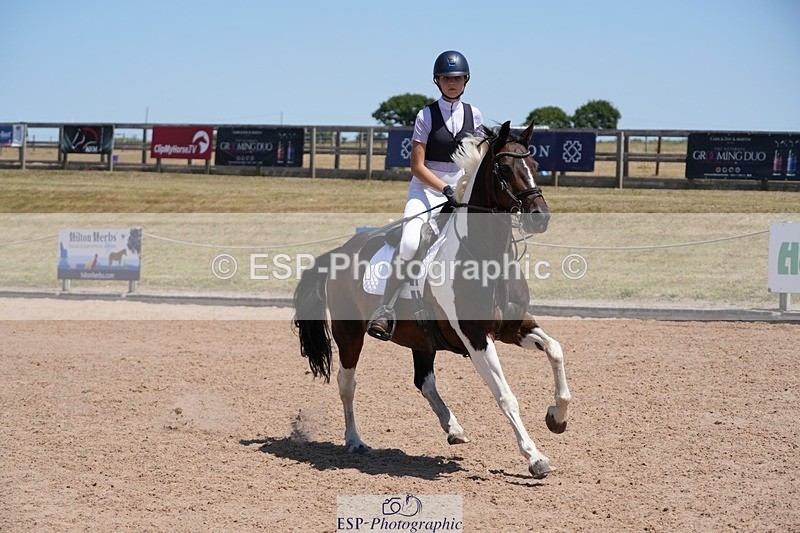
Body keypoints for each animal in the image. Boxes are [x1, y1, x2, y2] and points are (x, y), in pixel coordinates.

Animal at [293, 121, 572, 478]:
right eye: (506, 169)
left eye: (536, 166)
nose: (541, 216)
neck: (485, 256)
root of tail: (340, 251)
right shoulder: (475, 337)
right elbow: (505, 396)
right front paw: (535, 456)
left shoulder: (514, 325)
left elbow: (555, 349)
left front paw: (557, 417)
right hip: (349, 332)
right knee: (347, 383)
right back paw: (354, 440)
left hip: (419, 338)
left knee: (423, 381)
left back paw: (454, 428)